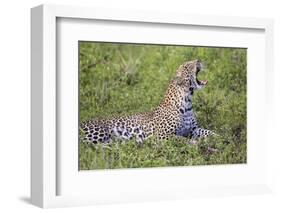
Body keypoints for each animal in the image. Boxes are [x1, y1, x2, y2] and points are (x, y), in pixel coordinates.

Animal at [80, 59, 215, 144]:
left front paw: (217, 138)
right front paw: (195, 142)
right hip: (99, 132)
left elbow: (208, 131)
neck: (187, 102)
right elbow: (182, 139)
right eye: (187, 66)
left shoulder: (193, 129)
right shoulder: (162, 136)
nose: (198, 60)